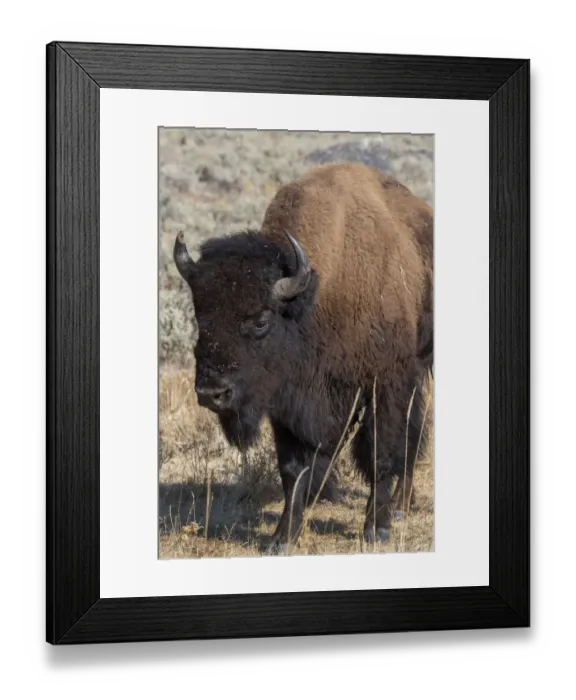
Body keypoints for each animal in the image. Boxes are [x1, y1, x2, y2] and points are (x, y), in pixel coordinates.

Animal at [174, 162, 433, 553]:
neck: (317, 297)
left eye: (261, 320)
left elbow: (380, 452)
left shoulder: (385, 385)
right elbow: (293, 469)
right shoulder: (287, 399)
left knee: (412, 435)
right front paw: (282, 538)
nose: (211, 393)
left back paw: (399, 508)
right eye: (199, 317)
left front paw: (376, 529)